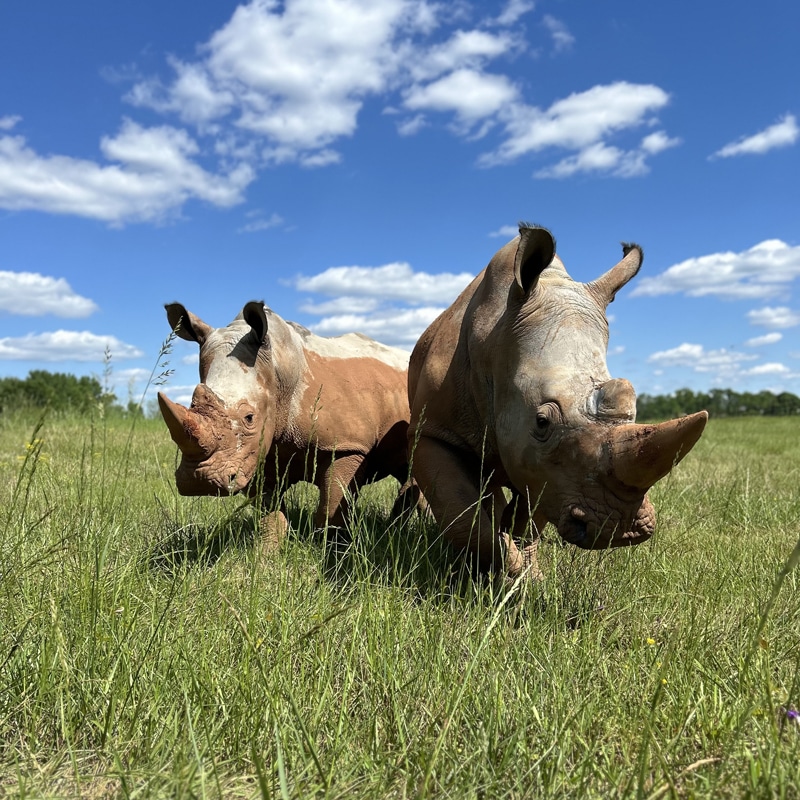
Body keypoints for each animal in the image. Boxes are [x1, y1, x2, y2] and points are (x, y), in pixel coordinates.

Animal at [158, 300, 414, 534]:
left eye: (249, 418)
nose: (199, 480)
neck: (278, 369)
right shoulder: (258, 451)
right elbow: (270, 517)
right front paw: (266, 554)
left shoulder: (346, 446)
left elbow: (332, 510)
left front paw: (332, 549)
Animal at [408, 224, 708, 581]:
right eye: (542, 422)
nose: (620, 531)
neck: (495, 334)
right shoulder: (434, 431)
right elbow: (462, 517)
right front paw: (506, 568)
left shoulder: (546, 471)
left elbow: (530, 519)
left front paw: (526, 575)